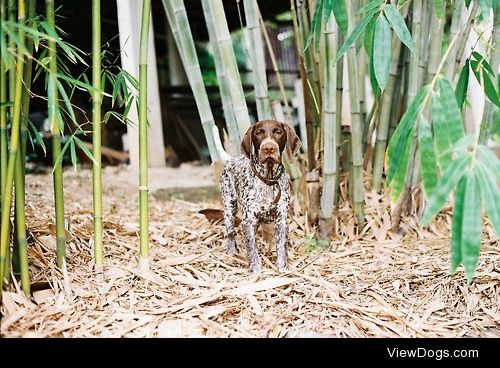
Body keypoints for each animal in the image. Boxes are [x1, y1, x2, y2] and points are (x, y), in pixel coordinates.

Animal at [220, 120, 300, 274]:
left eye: (278, 132)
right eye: (258, 133)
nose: (269, 148)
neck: (268, 179)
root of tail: (232, 158)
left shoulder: (282, 220)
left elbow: (281, 248)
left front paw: (283, 270)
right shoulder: (249, 222)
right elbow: (252, 250)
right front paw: (256, 272)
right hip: (229, 206)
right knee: (230, 232)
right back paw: (232, 253)